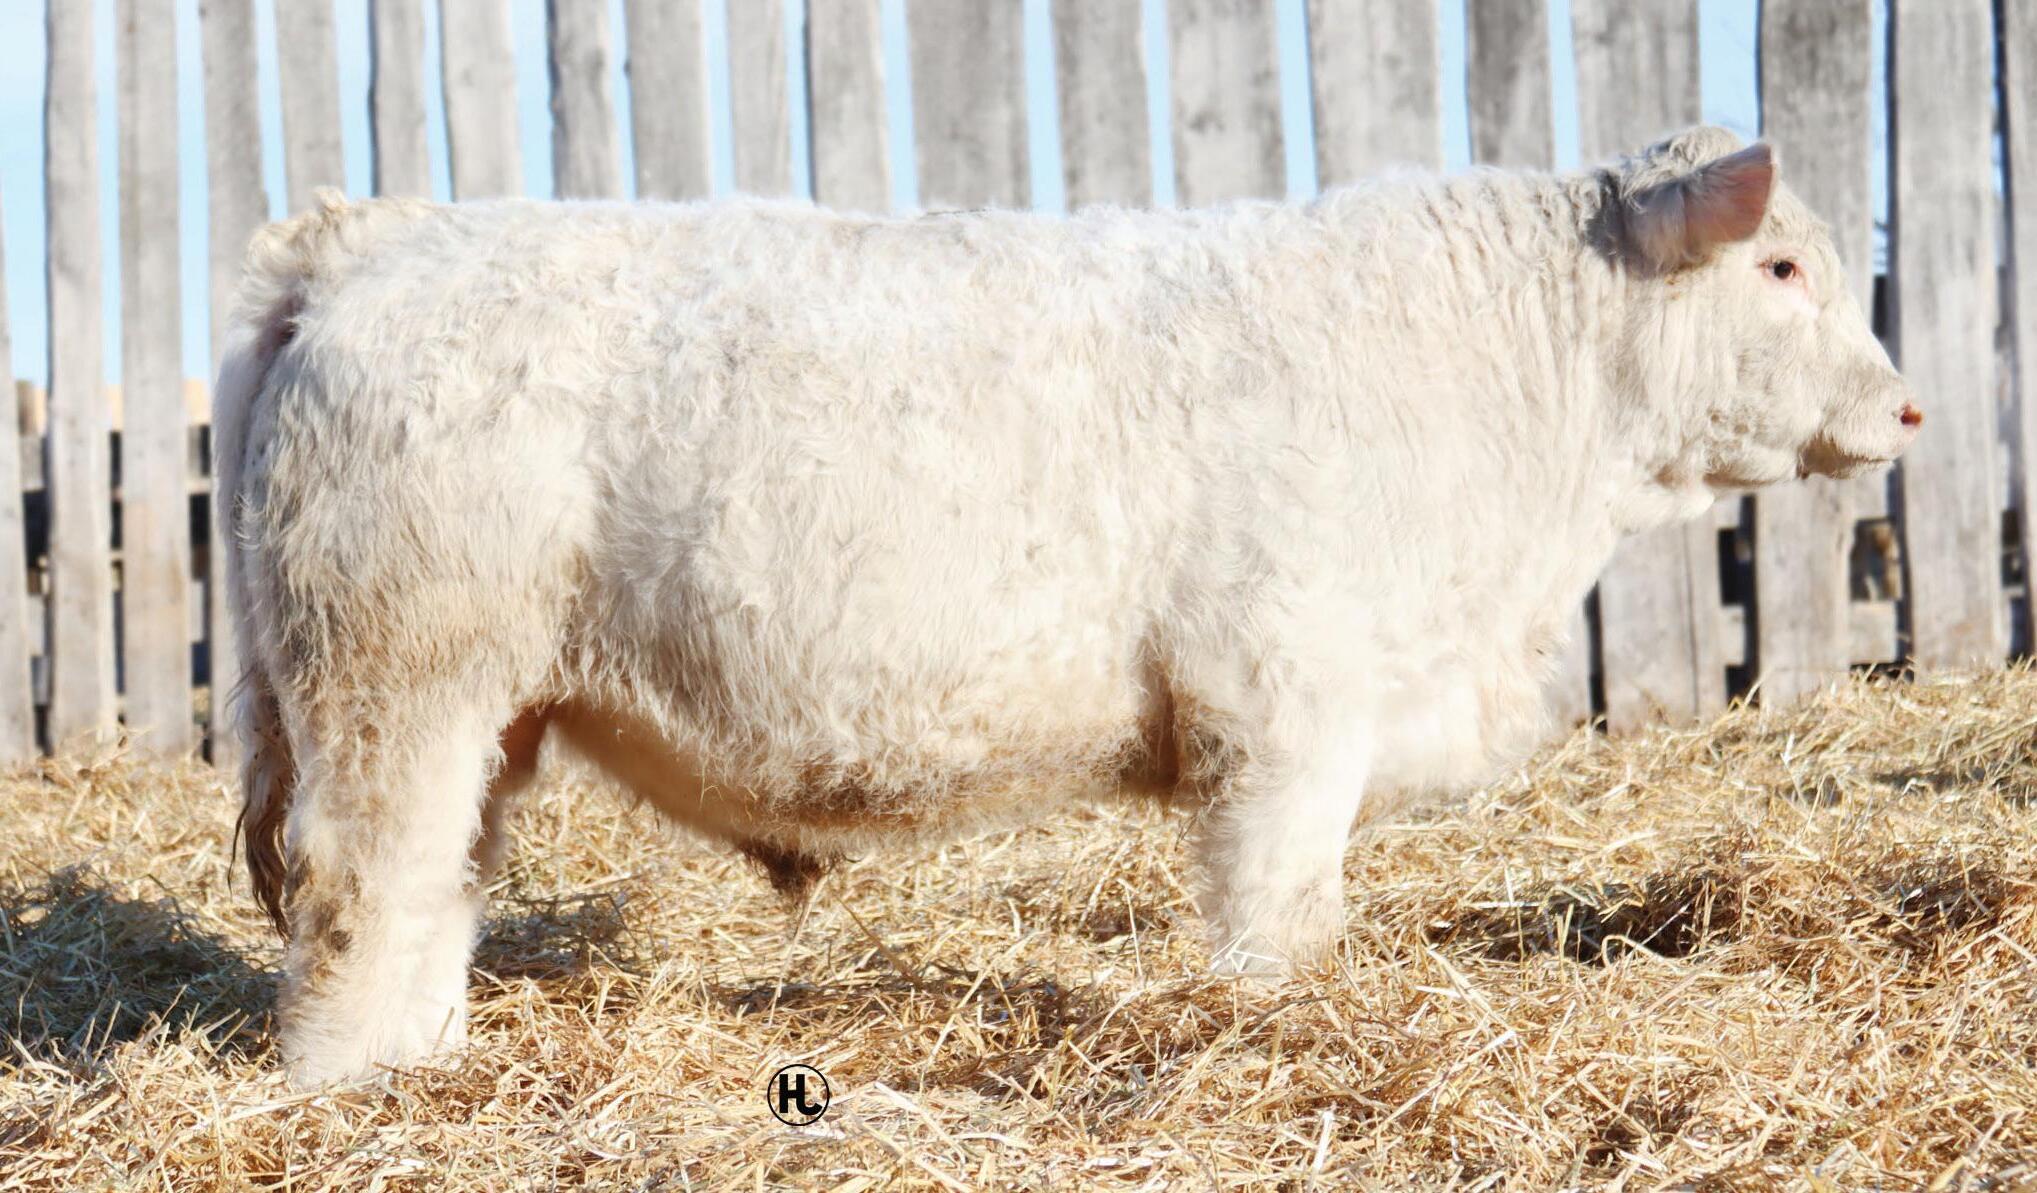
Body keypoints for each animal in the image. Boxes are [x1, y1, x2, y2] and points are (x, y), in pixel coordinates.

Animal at [213, 126, 1919, 1086]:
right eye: (1780, 268)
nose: (1906, 411)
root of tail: (371, 236)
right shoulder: (1285, 706)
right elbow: (1279, 911)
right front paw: (1272, 1030)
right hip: (394, 680)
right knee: (360, 883)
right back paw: (348, 1089)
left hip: (483, 709)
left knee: (439, 884)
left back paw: (428, 1061)